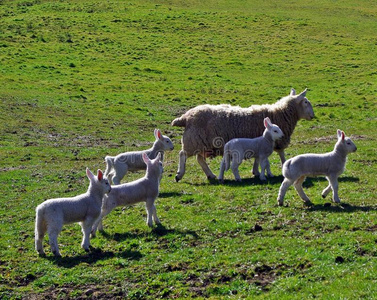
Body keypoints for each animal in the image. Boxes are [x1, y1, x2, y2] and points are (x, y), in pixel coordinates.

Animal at [172, 86, 312, 180]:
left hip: (201, 143)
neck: (279, 114)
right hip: (193, 140)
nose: (313, 115)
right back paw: (179, 174)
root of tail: (185, 117)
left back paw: (210, 175)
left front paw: (256, 171)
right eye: (305, 102)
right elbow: (281, 155)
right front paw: (283, 167)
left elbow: (258, 159)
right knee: (183, 154)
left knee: (199, 159)